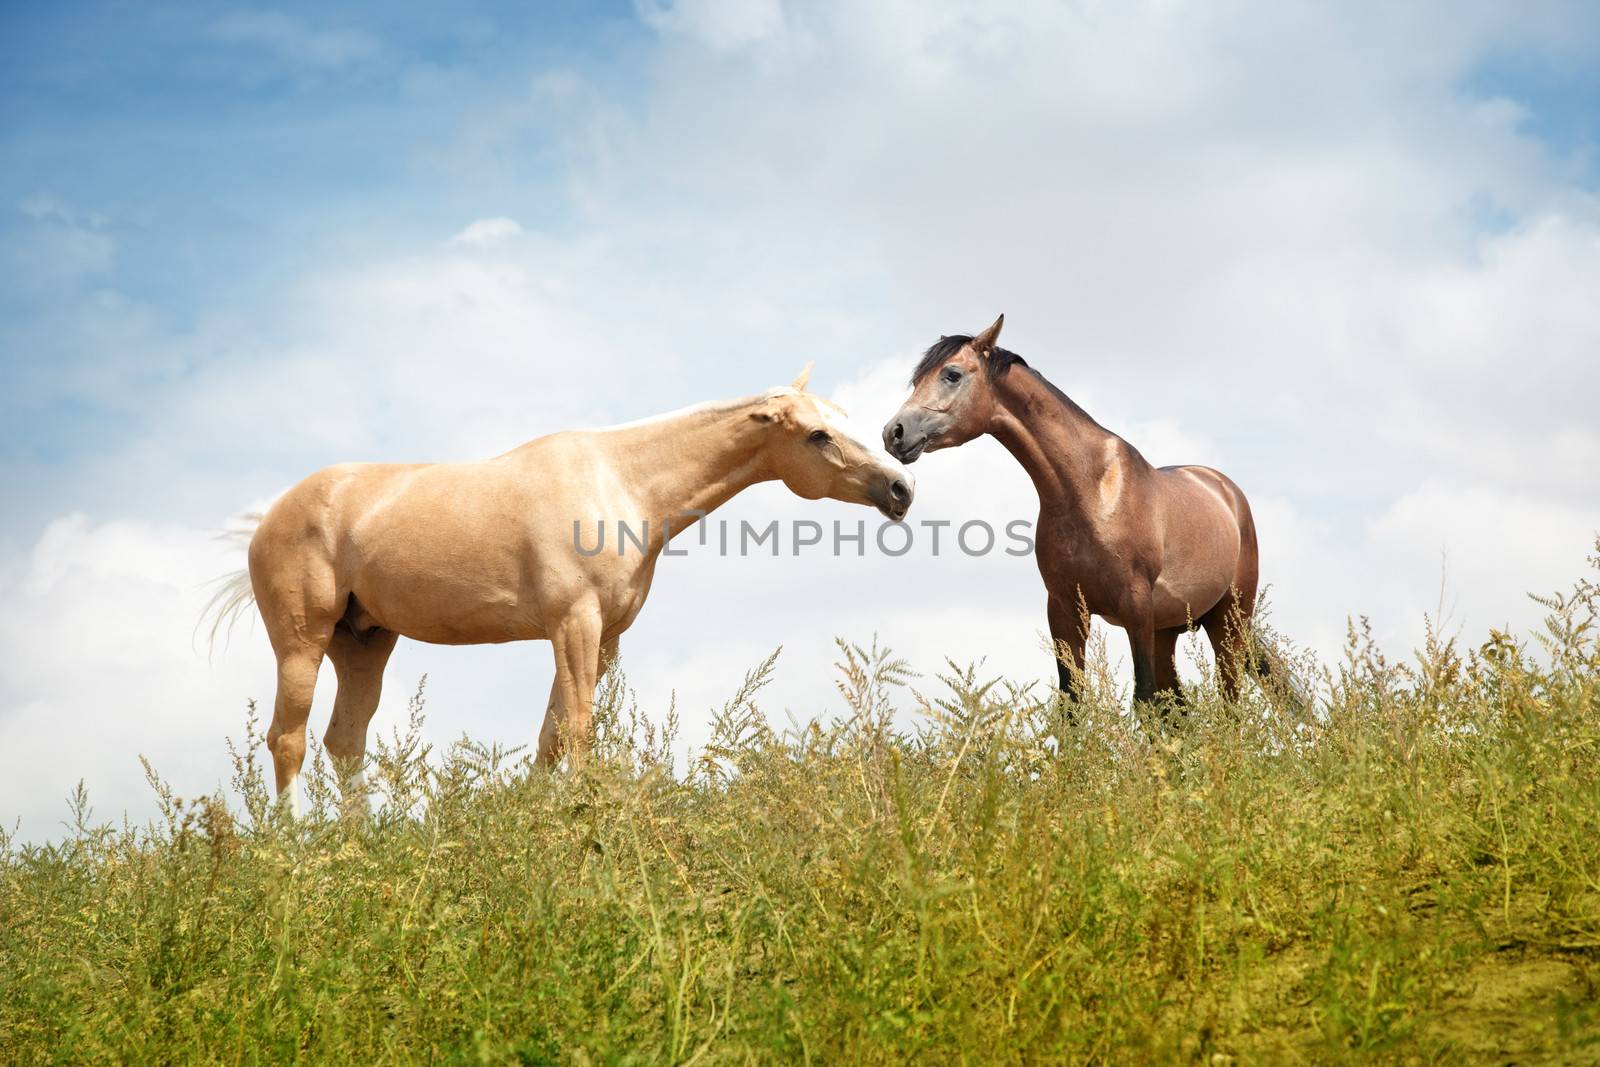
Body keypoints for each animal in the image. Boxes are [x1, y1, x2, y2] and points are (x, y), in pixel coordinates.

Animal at [212, 367, 915, 809]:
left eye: (843, 419)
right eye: (817, 434)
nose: (901, 488)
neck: (621, 483)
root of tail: (271, 518)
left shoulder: (603, 637)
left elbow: (552, 737)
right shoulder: (573, 623)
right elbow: (578, 728)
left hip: (363, 644)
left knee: (344, 743)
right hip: (302, 643)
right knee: (288, 740)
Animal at [883, 316, 1267, 713]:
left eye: (952, 374)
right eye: (917, 380)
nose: (894, 433)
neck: (1089, 491)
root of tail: (1225, 491)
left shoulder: (1136, 608)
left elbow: (1143, 698)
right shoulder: (1065, 610)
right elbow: (1072, 703)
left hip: (1228, 623)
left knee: (1229, 701)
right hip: (1168, 631)